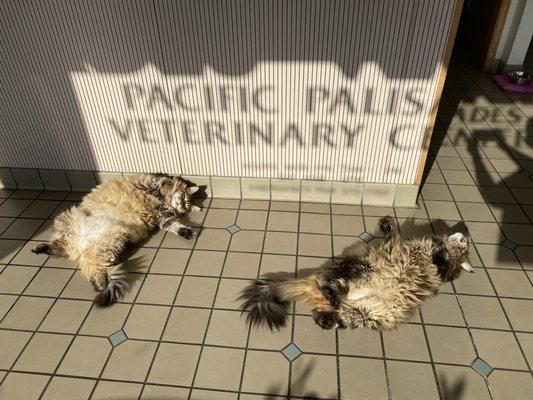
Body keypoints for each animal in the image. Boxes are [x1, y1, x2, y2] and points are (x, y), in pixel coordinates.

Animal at [31, 173, 202, 308]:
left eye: (186, 205)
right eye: (184, 199)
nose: (181, 208)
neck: (163, 204)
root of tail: (81, 247)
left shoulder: (161, 218)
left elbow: (174, 225)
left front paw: (187, 231)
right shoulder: (149, 184)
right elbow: (164, 183)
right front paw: (168, 189)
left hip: (109, 242)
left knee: (90, 264)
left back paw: (99, 284)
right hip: (66, 219)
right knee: (63, 247)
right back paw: (41, 248)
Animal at [240, 217, 470, 330]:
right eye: (465, 242)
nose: (465, 234)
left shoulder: (441, 269)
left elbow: (442, 256)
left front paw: (439, 245)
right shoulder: (395, 246)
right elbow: (396, 233)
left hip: (367, 314)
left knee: (325, 310)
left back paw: (328, 317)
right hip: (362, 270)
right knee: (325, 282)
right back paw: (331, 301)